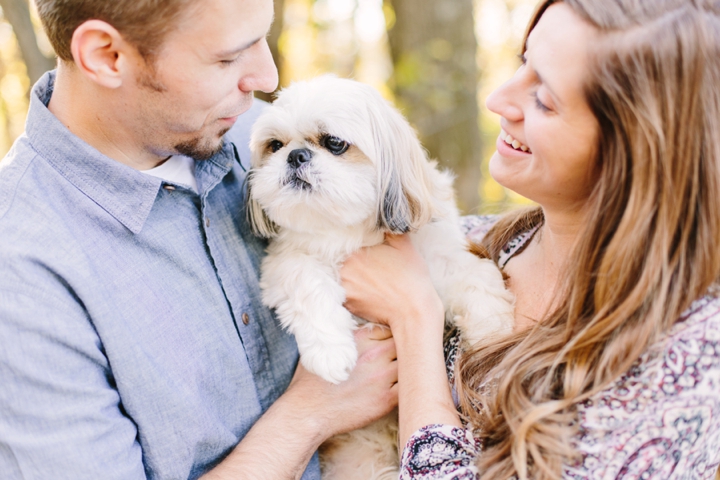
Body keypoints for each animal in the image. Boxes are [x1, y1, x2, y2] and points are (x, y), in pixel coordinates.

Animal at [246, 76, 512, 480]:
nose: (295, 156)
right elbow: (307, 283)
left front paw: (493, 332)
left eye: (334, 142)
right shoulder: (285, 260)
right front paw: (331, 352)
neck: (351, 231)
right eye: (274, 145)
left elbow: (476, 279)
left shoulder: (439, 258)